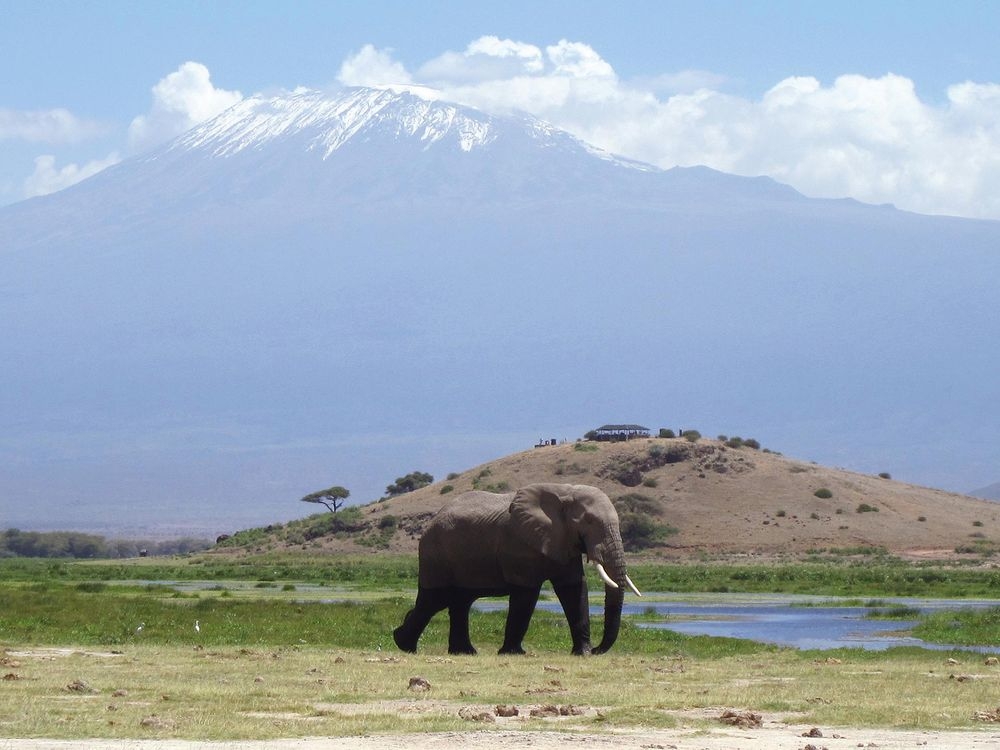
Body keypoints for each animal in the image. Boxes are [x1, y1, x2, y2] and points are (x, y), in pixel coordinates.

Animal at [390, 484, 640, 656]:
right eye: (588, 521)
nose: (598, 649)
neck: (563, 492)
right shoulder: (519, 545)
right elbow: (526, 595)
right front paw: (513, 653)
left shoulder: (564, 541)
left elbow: (574, 590)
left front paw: (583, 653)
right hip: (435, 554)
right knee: (434, 599)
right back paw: (403, 644)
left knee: (460, 602)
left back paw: (463, 652)